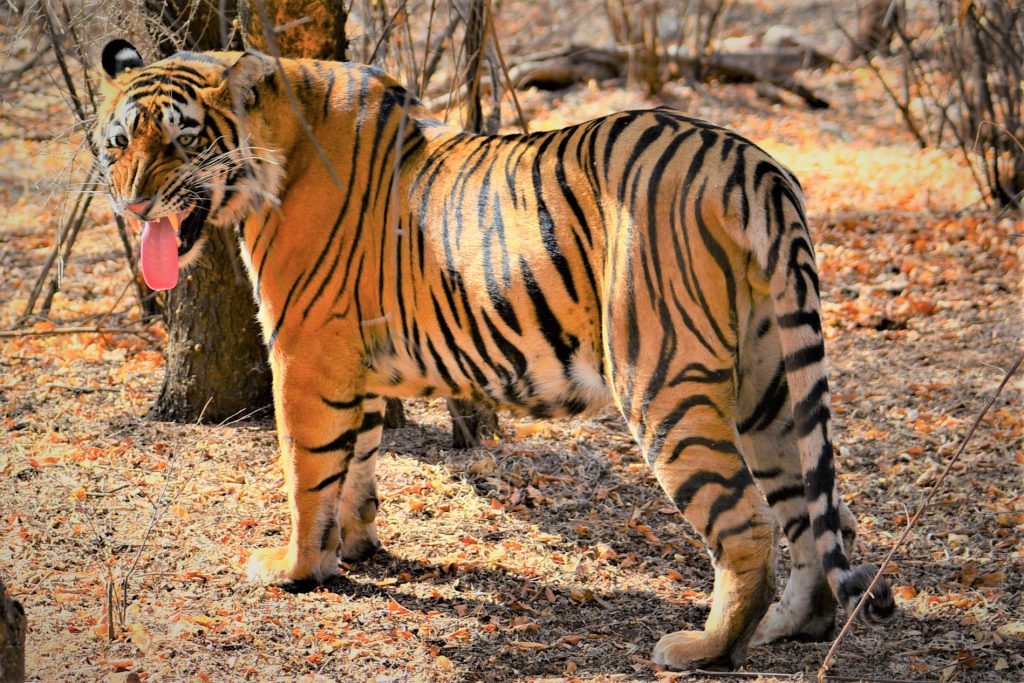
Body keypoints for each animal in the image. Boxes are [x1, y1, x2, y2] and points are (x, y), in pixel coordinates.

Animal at [95, 39, 894, 669]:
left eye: (184, 140)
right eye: (119, 141)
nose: (131, 205)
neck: (279, 148)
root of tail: (748, 162)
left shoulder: (304, 351)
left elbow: (307, 468)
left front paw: (295, 566)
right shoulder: (354, 357)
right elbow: (359, 459)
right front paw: (352, 547)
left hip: (663, 380)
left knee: (747, 523)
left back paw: (703, 647)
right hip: (768, 381)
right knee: (818, 513)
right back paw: (790, 627)